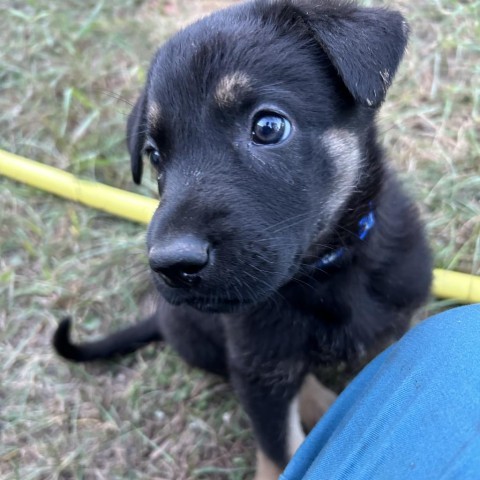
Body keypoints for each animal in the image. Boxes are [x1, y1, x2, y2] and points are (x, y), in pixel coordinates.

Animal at [54, 1, 434, 478]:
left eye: (269, 127)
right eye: (155, 155)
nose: (173, 264)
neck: (325, 275)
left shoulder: (394, 324)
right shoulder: (257, 361)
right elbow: (280, 450)